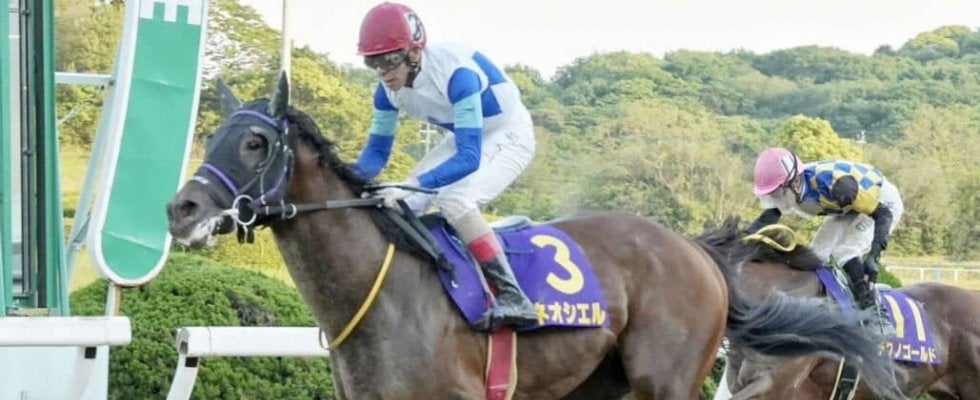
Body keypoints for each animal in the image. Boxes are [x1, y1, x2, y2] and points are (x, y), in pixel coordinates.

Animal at [165, 72, 903, 400]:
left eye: (256, 143)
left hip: (665, 380)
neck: (380, 292)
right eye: (215, 132)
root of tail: (692, 249)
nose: (181, 209)